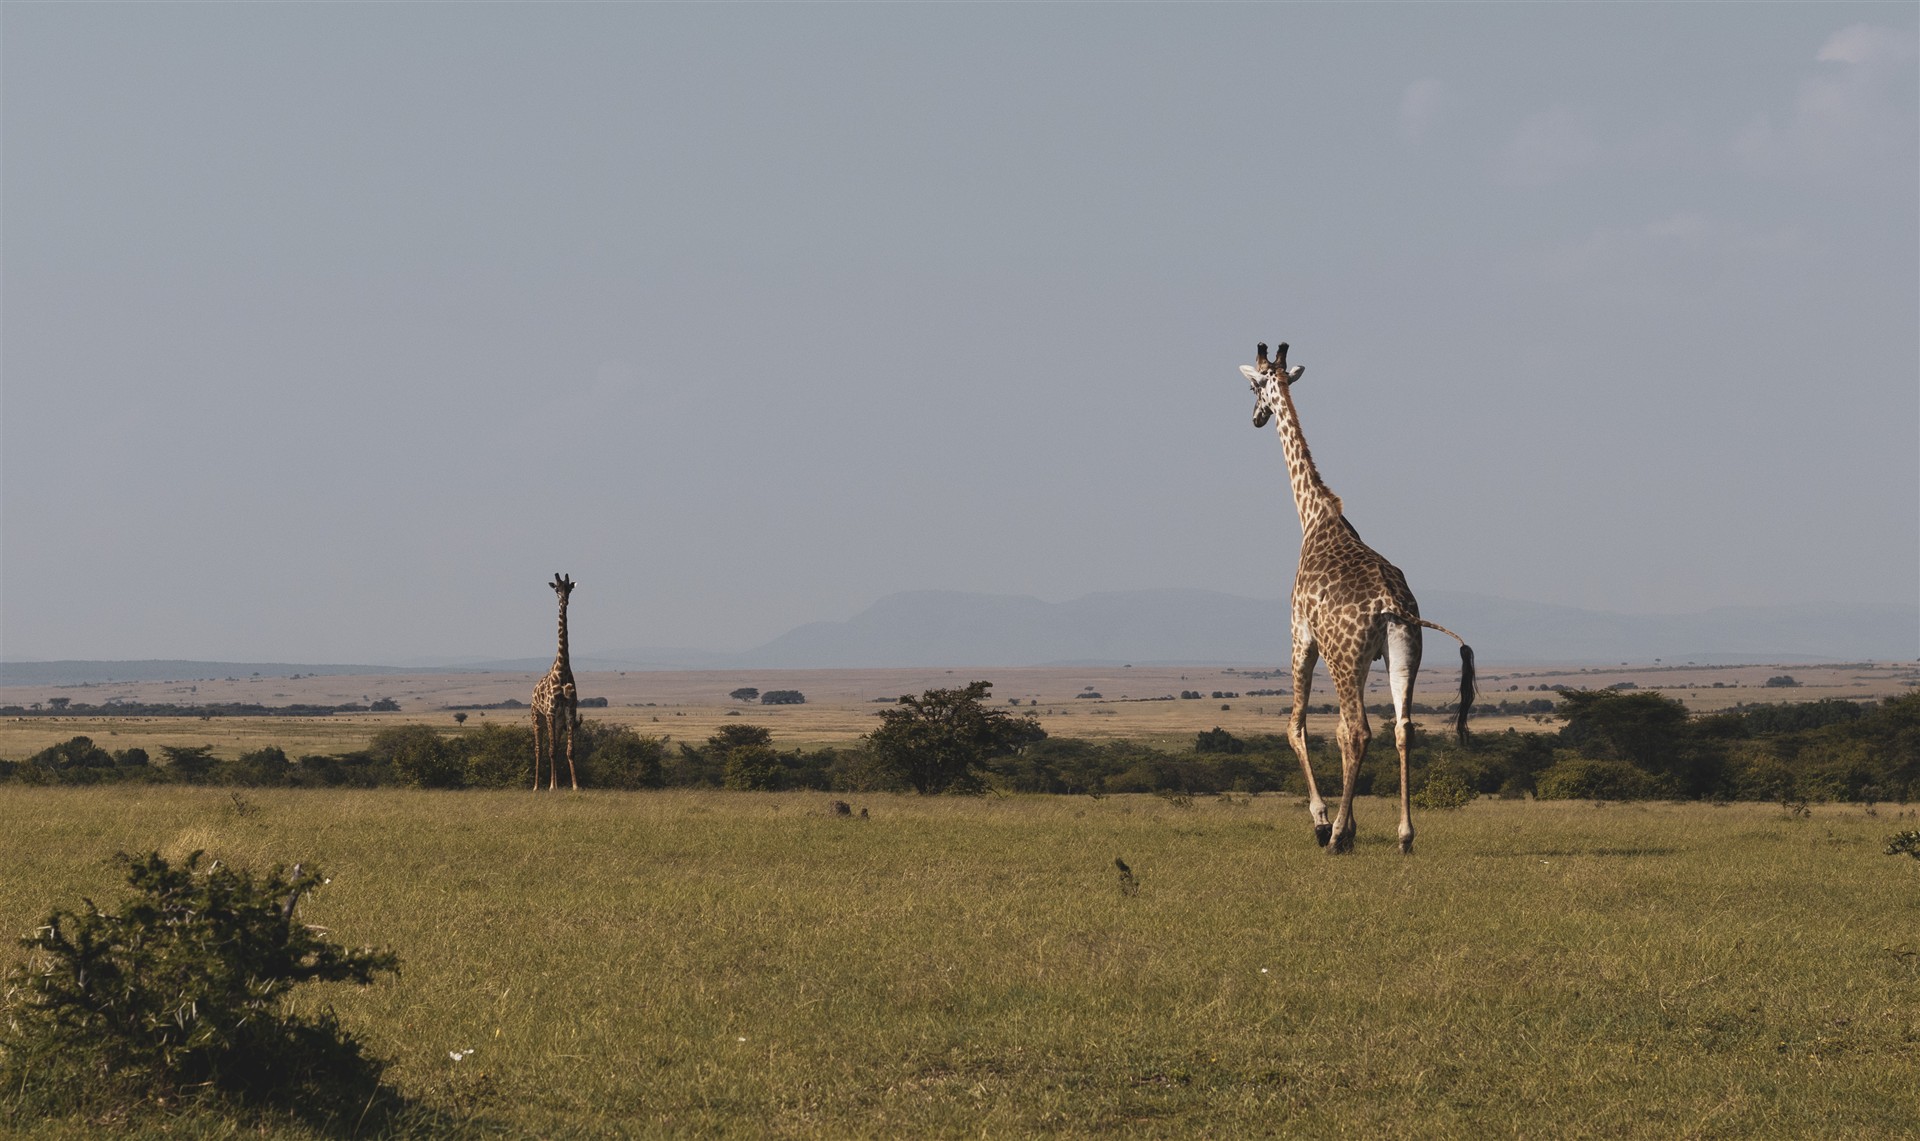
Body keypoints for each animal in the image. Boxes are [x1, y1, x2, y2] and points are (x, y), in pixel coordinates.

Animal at [1241, 341, 1475, 854]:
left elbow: (1298, 726)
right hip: (1403, 653)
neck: (1315, 516)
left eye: (1253, 386)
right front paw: (1350, 826)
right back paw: (1405, 836)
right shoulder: (1367, 657)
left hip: (1344, 658)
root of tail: (1392, 606)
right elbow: (1342, 733)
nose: (1255, 418)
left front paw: (1326, 823)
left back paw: (1334, 838)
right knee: (1402, 729)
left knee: (1361, 730)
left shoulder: (1301, 637)